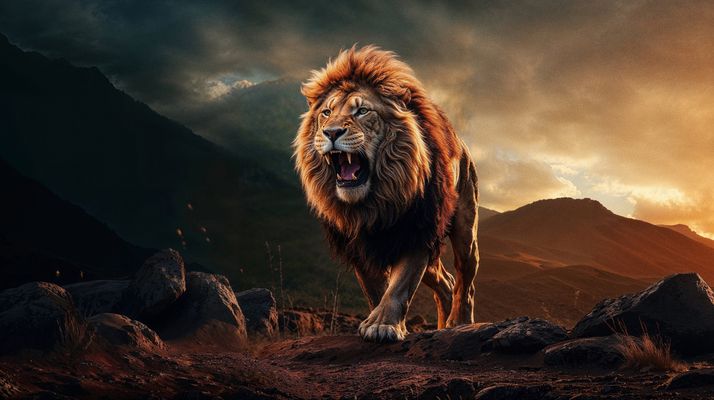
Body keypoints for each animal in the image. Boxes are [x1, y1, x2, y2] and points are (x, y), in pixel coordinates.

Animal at [293, 45, 479, 342]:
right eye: (326, 112)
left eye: (362, 111)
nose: (331, 132)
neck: (374, 201)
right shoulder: (358, 243)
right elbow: (375, 290)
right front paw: (378, 320)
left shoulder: (418, 229)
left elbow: (400, 285)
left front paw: (383, 325)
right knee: (447, 282)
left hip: (465, 230)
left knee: (465, 282)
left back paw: (460, 323)